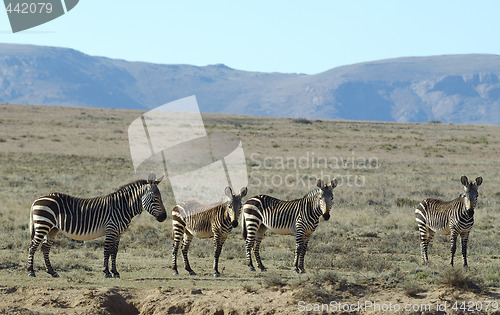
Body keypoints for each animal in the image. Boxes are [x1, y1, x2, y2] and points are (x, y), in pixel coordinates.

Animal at [27, 174, 167, 280]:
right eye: (155, 198)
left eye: (160, 197)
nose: (164, 217)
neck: (122, 207)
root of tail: (36, 200)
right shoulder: (111, 230)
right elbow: (107, 250)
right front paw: (107, 272)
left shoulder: (118, 233)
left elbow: (114, 252)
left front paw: (115, 272)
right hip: (43, 225)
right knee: (33, 246)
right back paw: (31, 271)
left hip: (52, 229)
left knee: (45, 248)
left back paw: (52, 272)